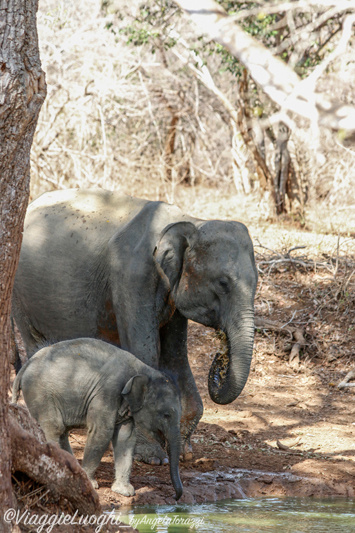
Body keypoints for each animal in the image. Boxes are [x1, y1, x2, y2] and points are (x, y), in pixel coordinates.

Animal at [11, 336, 184, 498]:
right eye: (166, 415)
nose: (175, 496)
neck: (143, 370)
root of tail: (27, 364)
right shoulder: (106, 393)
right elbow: (102, 432)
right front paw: (91, 485)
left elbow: (126, 437)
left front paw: (125, 491)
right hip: (40, 393)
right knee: (55, 427)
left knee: (62, 430)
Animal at [12, 190, 258, 462]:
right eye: (223, 283)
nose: (219, 354)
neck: (190, 220)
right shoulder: (132, 278)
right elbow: (145, 351)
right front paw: (153, 456)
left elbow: (175, 356)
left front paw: (183, 451)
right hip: (21, 295)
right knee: (36, 343)